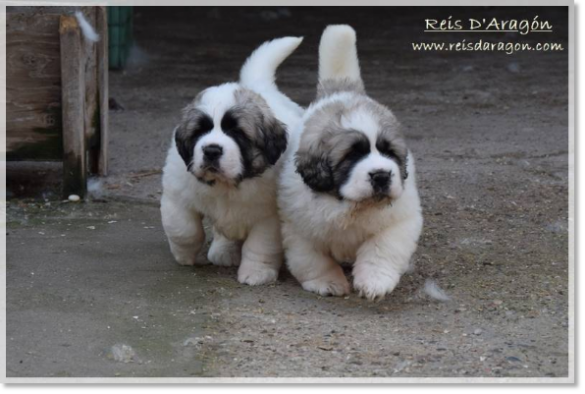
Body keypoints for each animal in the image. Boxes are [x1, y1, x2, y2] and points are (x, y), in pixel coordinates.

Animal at [161, 37, 304, 284]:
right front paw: (184, 255)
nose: (211, 150)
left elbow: (260, 244)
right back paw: (223, 251)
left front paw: (256, 273)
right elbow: (184, 227)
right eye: (200, 131)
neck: (227, 186)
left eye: (237, 133)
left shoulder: (269, 216)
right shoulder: (176, 193)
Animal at [276, 26, 422, 300]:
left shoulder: (398, 221)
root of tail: (341, 91)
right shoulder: (299, 228)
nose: (381, 175)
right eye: (352, 155)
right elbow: (313, 259)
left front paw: (375, 281)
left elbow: (381, 249)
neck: (350, 207)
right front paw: (327, 282)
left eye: (389, 153)